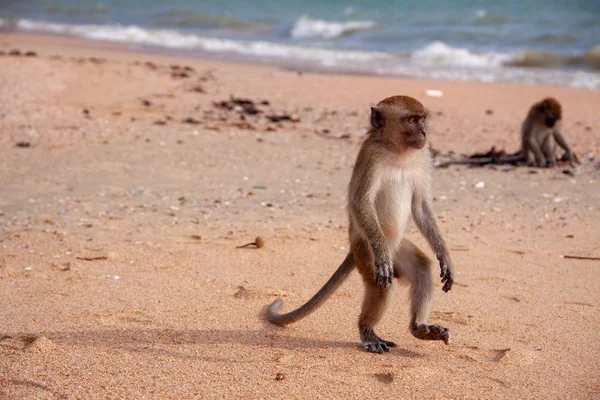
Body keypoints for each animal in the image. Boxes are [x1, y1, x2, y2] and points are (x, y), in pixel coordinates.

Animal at [268, 97, 454, 354]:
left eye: (422, 119)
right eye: (411, 120)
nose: (424, 132)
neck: (397, 150)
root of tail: (352, 249)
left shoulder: (423, 156)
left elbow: (421, 206)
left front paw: (444, 256)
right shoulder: (372, 156)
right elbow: (360, 202)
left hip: (397, 248)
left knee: (421, 266)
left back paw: (418, 327)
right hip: (365, 250)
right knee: (380, 284)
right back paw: (367, 329)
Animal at [436, 99, 576, 170]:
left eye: (555, 120)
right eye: (551, 118)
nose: (551, 124)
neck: (542, 119)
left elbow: (557, 134)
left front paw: (569, 152)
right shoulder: (533, 115)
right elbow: (529, 136)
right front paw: (540, 160)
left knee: (549, 137)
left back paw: (550, 160)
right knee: (527, 140)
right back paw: (534, 161)